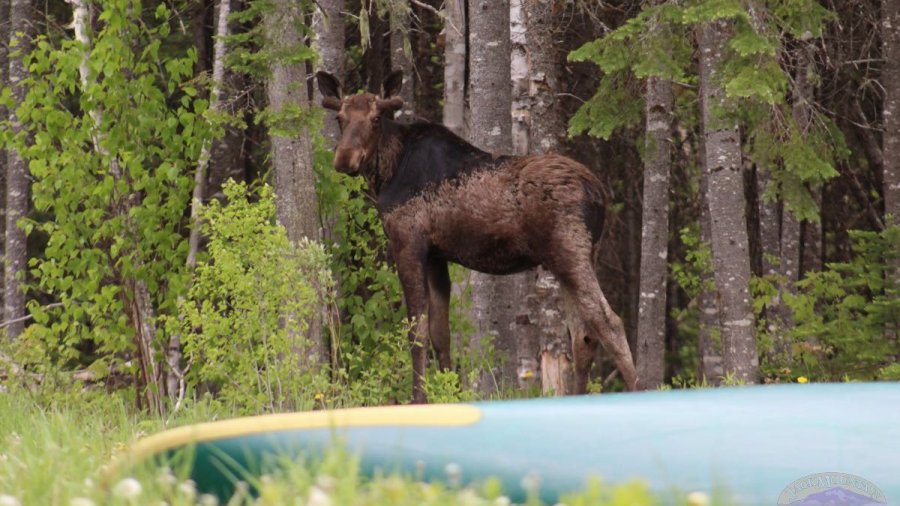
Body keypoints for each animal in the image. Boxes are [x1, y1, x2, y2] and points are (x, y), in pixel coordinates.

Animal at [316, 70, 640, 403]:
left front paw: (419, 399)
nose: (345, 158)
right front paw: (451, 393)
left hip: (569, 252)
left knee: (609, 323)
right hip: (572, 258)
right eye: (340, 118)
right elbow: (440, 333)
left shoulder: (407, 242)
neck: (388, 170)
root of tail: (600, 193)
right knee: (583, 335)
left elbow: (416, 332)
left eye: (376, 118)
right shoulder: (436, 255)